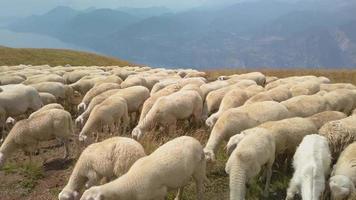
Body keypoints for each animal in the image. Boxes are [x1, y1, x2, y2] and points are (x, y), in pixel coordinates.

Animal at [80, 136, 209, 200]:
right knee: (182, 185)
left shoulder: (159, 194)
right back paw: (177, 197)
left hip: (199, 170)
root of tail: (195, 140)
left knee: (200, 189)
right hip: (184, 174)